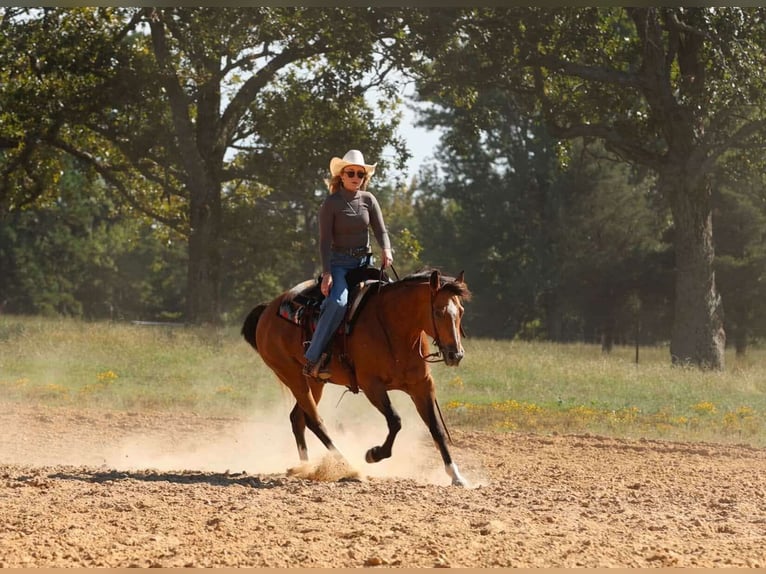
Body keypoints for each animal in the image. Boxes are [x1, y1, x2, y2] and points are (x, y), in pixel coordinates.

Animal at [241, 268, 471, 486]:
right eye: (439, 312)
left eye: (460, 311)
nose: (456, 354)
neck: (394, 328)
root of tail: (267, 310)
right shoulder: (372, 386)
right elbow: (395, 421)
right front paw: (374, 454)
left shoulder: (422, 385)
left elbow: (437, 429)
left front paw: (456, 476)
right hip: (292, 376)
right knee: (314, 421)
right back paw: (348, 467)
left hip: (314, 382)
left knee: (298, 418)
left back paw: (306, 467)